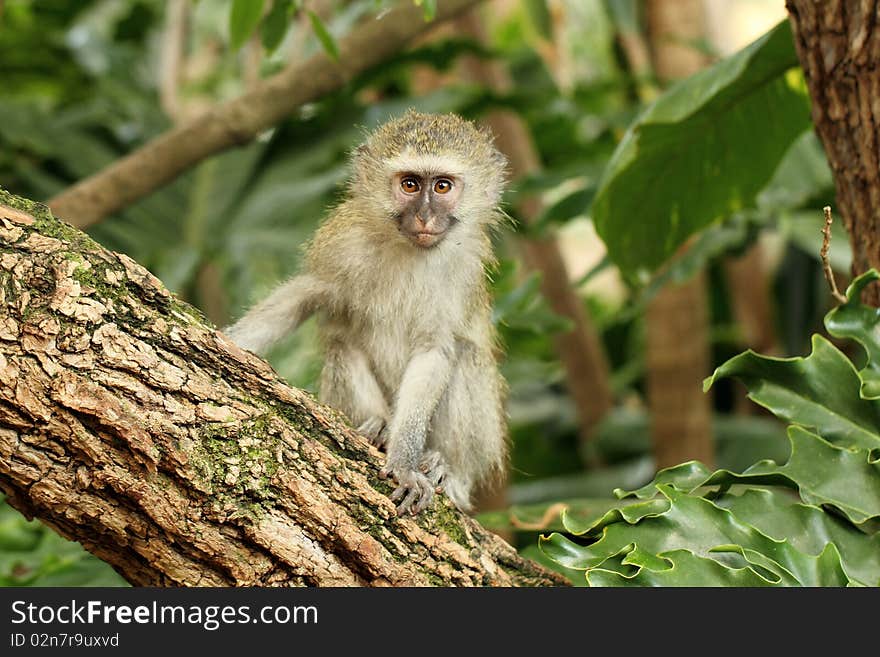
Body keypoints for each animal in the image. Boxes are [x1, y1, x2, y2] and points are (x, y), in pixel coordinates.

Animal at [225, 110, 508, 516]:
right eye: (409, 184)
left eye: (442, 187)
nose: (424, 217)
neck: (408, 250)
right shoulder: (343, 242)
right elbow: (305, 292)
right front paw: (226, 341)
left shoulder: (463, 270)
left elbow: (434, 352)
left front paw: (404, 462)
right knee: (342, 344)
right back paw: (378, 428)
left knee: (467, 354)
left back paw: (446, 469)